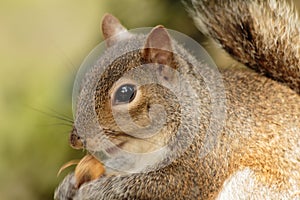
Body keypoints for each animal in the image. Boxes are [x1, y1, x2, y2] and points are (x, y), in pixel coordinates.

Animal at [55, 0, 298, 199]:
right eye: (86, 81)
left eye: (125, 93)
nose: (76, 140)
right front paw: (67, 185)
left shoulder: (198, 166)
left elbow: (146, 186)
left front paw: (91, 191)